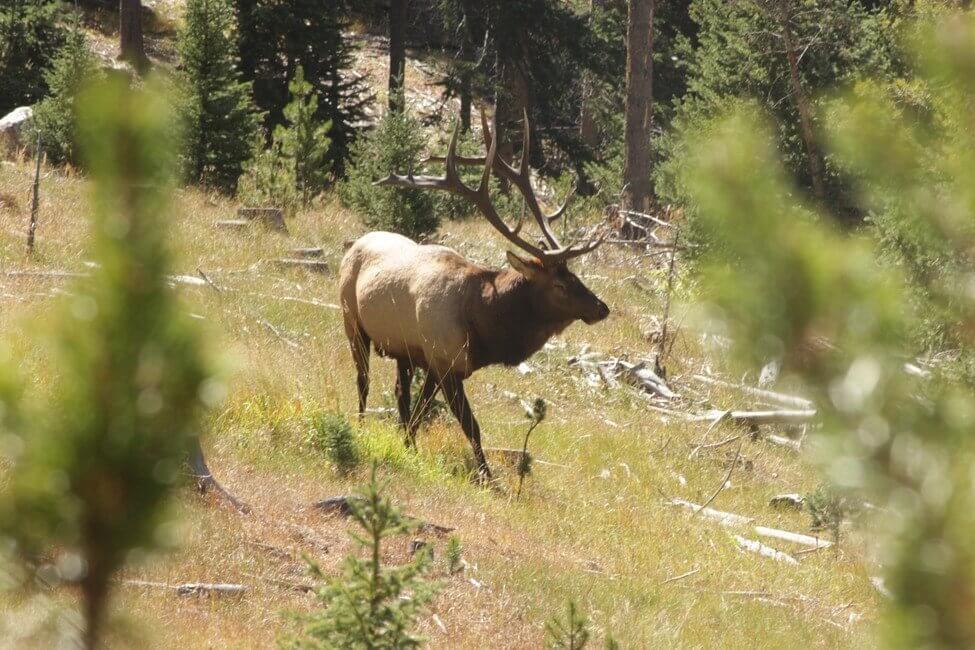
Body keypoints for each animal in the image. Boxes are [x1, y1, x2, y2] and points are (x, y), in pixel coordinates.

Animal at [340, 110, 608, 476]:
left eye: (576, 276)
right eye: (559, 285)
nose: (601, 307)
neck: (481, 323)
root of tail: (354, 244)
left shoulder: (433, 361)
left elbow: (421, 413)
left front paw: (409, 448)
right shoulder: (445, 362)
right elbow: (471, 425)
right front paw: (486, 477)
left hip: (402, 350)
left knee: (398, 392)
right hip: (352, 322)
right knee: (363, 380)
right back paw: (360, 424)